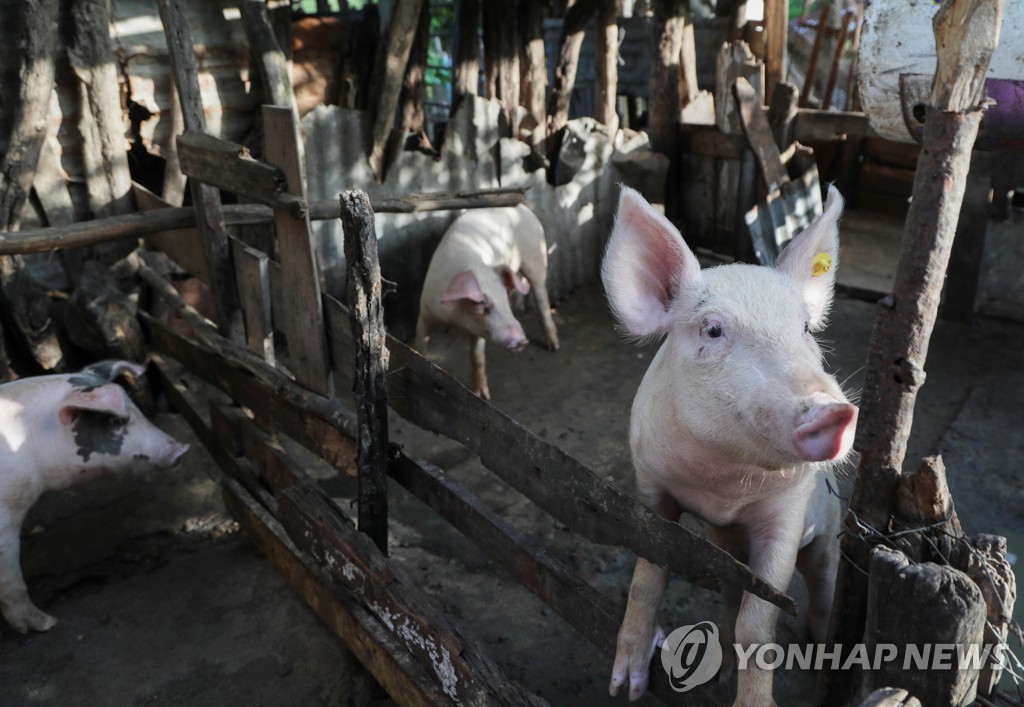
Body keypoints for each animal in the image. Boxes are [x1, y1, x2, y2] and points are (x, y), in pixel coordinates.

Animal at [0, 360, 190, 631]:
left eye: (138, 410)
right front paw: (48, 624)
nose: (181, 449)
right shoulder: (5, 522)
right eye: (117, 421)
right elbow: (12, 582)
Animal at [415, 206, 561, 399]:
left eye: (504, 300)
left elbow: (476, 354)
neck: (454, 318)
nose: (522, 341)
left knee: (541, 295)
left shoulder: (480, 330)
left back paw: (554, 347)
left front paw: (482, 396)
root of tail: (521, 207)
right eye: (480, 303)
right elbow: (420, 342)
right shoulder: (425, 312)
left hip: (537, 256)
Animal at [606, 184, 856, 700]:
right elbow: (647, 577)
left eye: (805, 327)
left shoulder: (787, 516)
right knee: (731, 591)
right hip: (727, 555)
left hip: (827, 533)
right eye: (713, 329)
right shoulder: (652, 486)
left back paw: (821, 648)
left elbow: (758, 628)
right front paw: (626, 688)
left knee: (822, 586)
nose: (833, 409)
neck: (723, 488)